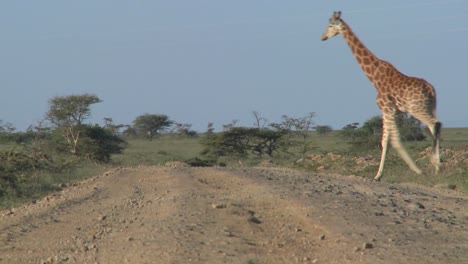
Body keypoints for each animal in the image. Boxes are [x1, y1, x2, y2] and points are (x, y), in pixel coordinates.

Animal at [320, 11, 440, 182]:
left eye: (330, 25)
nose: (323, 37)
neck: (374, 78)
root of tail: (431, 90)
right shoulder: (392, 111)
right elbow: (385, 141)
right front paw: (378, 175)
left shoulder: (387, 108)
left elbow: (393, 141)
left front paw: (415, 170)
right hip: (430, 107)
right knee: (435, 126)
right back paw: (436, 166)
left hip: (416, 109)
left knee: (434, 124)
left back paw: (435, 166)